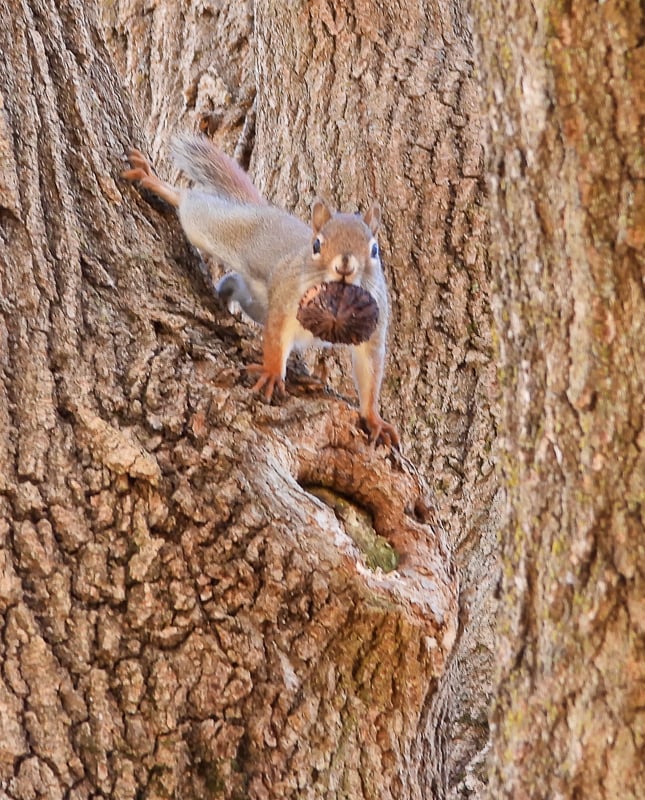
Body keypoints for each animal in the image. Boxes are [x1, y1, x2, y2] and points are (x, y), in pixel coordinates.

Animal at [122, 135, 399, 447]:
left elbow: (369, 371)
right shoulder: (285, 302)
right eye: (316, 245)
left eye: (374, 250)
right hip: (217, 228)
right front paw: (271, 373)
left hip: (255, 302)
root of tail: (261, 209)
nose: (345, 265)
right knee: (191, 203)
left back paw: (226, 292)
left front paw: (374, 419)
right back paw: (157, 182)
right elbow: (277, 339)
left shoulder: (374, 325)